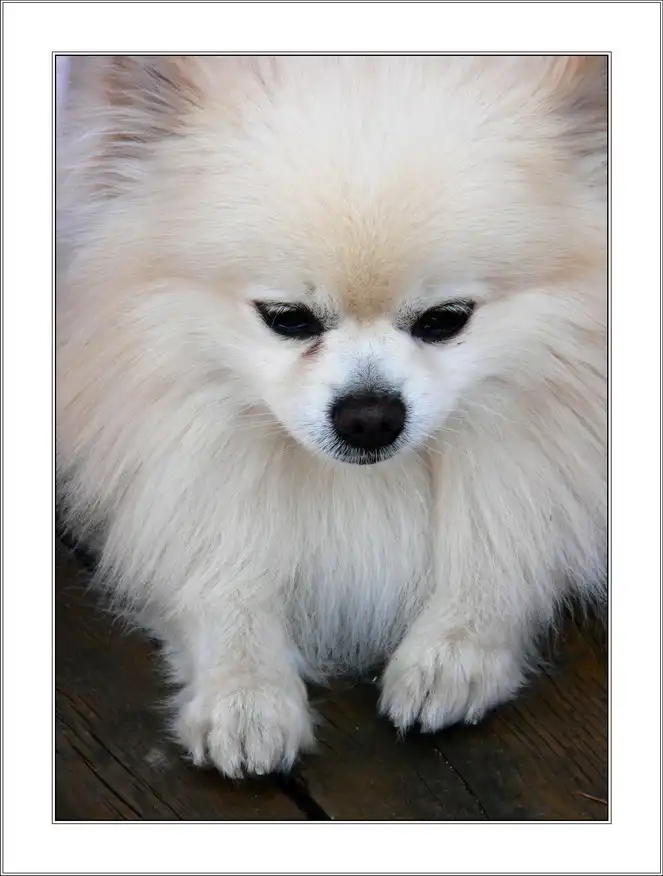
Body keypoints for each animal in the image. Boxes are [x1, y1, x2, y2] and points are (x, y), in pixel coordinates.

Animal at [56, 56, 607, 778]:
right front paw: (246, 694)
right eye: (287, 319)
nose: (369, 415)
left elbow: (502, 555)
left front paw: (450, 653)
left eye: (445, 320)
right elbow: (220, 578)